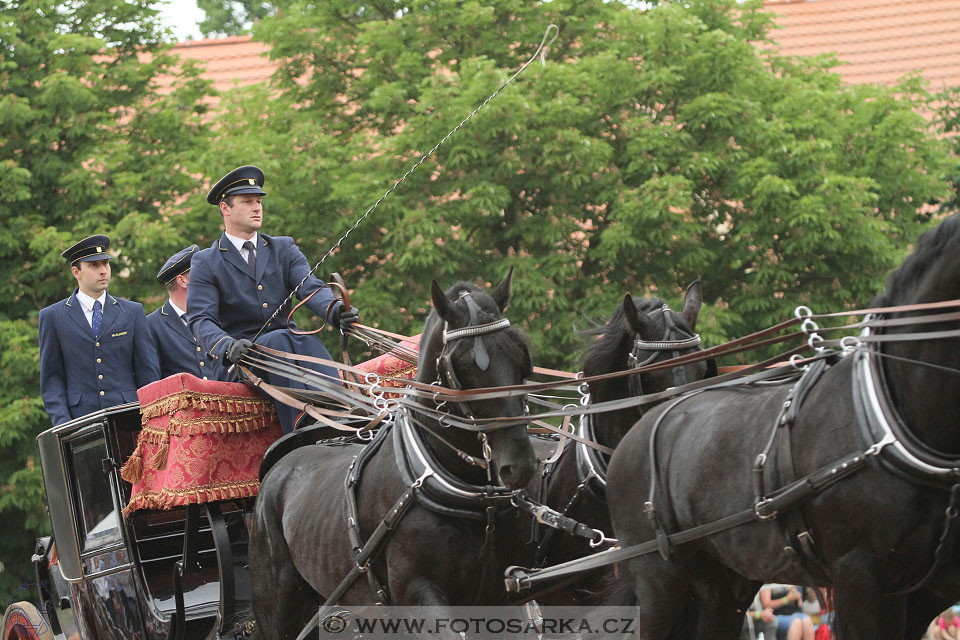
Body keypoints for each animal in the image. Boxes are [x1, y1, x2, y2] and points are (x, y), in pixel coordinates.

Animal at [249, 272, 540, 636]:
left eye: (520, 358)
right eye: (462, 365)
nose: (521, 465)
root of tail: (281, 467)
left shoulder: (503, 595)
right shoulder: (418, 595)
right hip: (278, 603)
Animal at [608, 216, 960, 640]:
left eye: (704, 364)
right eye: (649, 372)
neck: (884, 417)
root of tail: (636, 434)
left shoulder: (901, 584)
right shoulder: (856, 571)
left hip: (721, 580)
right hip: (659, 578)